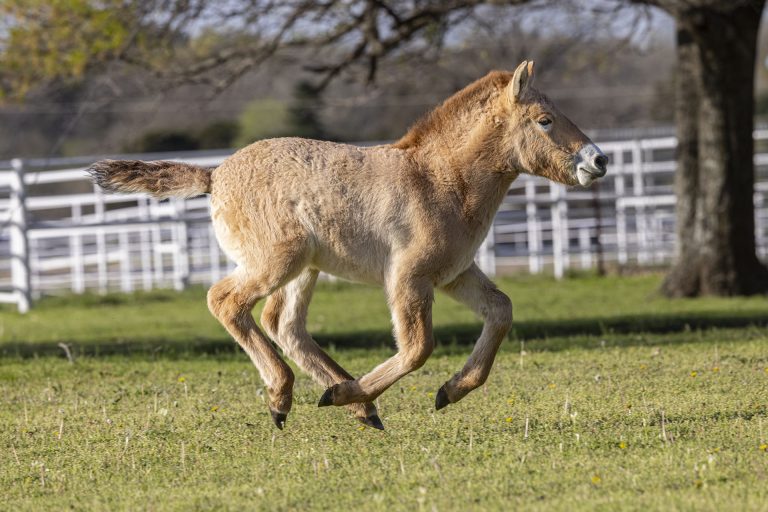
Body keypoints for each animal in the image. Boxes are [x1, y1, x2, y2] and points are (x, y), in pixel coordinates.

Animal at [88, 62, 608, 432]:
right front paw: (365, 393)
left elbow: (500, 312)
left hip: (306, 270)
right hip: (278, 261)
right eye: (544, 121)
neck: (440, 180)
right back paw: (292, 395)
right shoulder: (408, 277)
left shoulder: (455, 273)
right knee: (227, 301)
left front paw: (449, 391)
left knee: (284, 324)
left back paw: (354, 404)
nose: (598, 161)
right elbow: (417, 347)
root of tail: (214, 176)